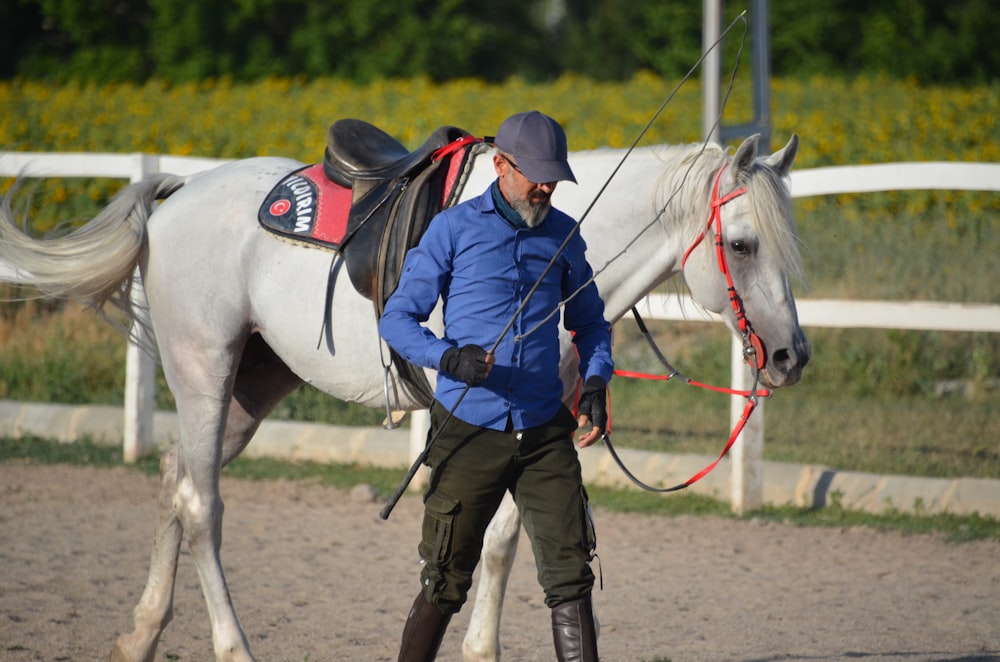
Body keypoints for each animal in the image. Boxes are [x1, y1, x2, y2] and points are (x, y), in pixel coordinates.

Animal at [0, 131, 804, 662]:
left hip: (250, 386)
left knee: (175, 476)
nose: (792, 356)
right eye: (742, 244)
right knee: (202, 505)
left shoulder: (537, 424)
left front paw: (482, 649)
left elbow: (509, 542)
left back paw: (140, 634)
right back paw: (231, 647)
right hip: (204, 369)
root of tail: (176, 197)